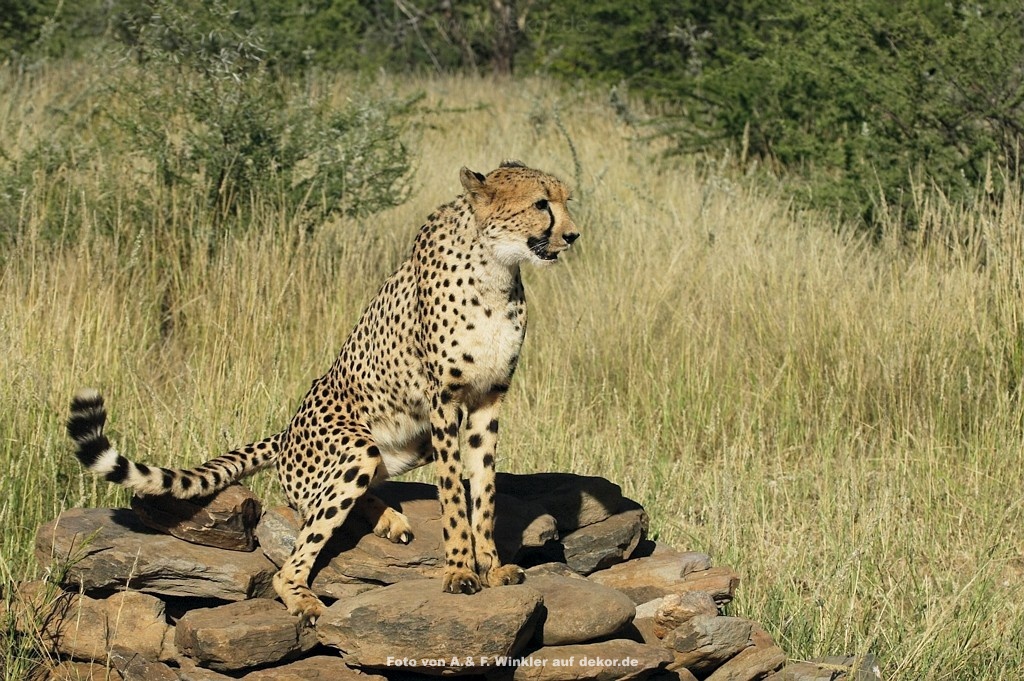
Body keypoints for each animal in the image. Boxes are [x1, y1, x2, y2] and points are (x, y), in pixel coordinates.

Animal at [66, 160, 580, 623]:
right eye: (541, 204)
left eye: (565, 200)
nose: (573, 235)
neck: (496, 265)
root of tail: (285, 432)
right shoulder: (444, 401)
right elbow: (455, 492)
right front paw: (459, 570)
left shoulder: (488, 398)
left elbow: (484, 491)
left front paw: (490, 566)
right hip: (358, 446)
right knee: (295, 551)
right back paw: (306, 598)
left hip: (406, 441)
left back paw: (389, 520)